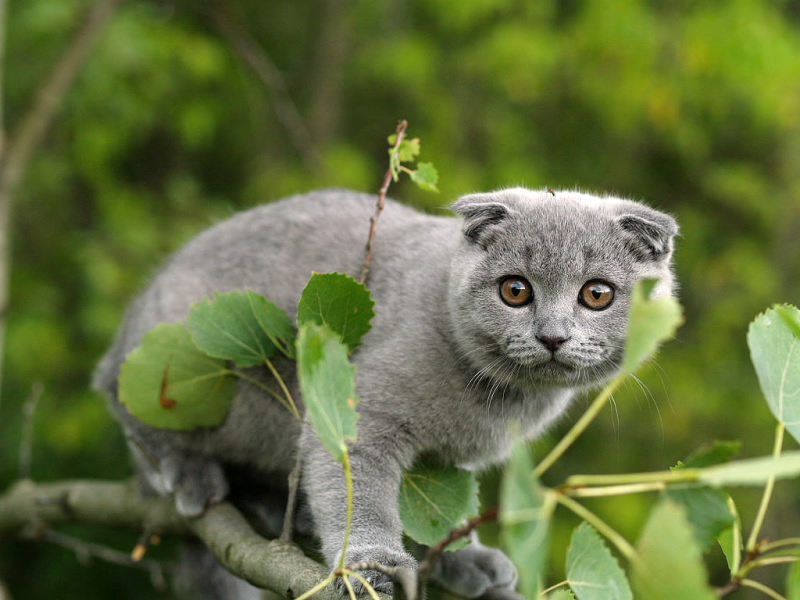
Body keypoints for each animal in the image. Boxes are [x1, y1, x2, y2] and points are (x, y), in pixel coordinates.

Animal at [95, 186, 680, 596]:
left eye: (597, 294)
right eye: (515, 290)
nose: (552, 336)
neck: (504, 399)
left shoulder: (447, 463)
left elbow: (436, 512)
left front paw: (460, 558)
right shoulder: (361, 413)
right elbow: (360, 491)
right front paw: (374, 565)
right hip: (178, 358)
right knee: (124, 401)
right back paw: (189, 472)